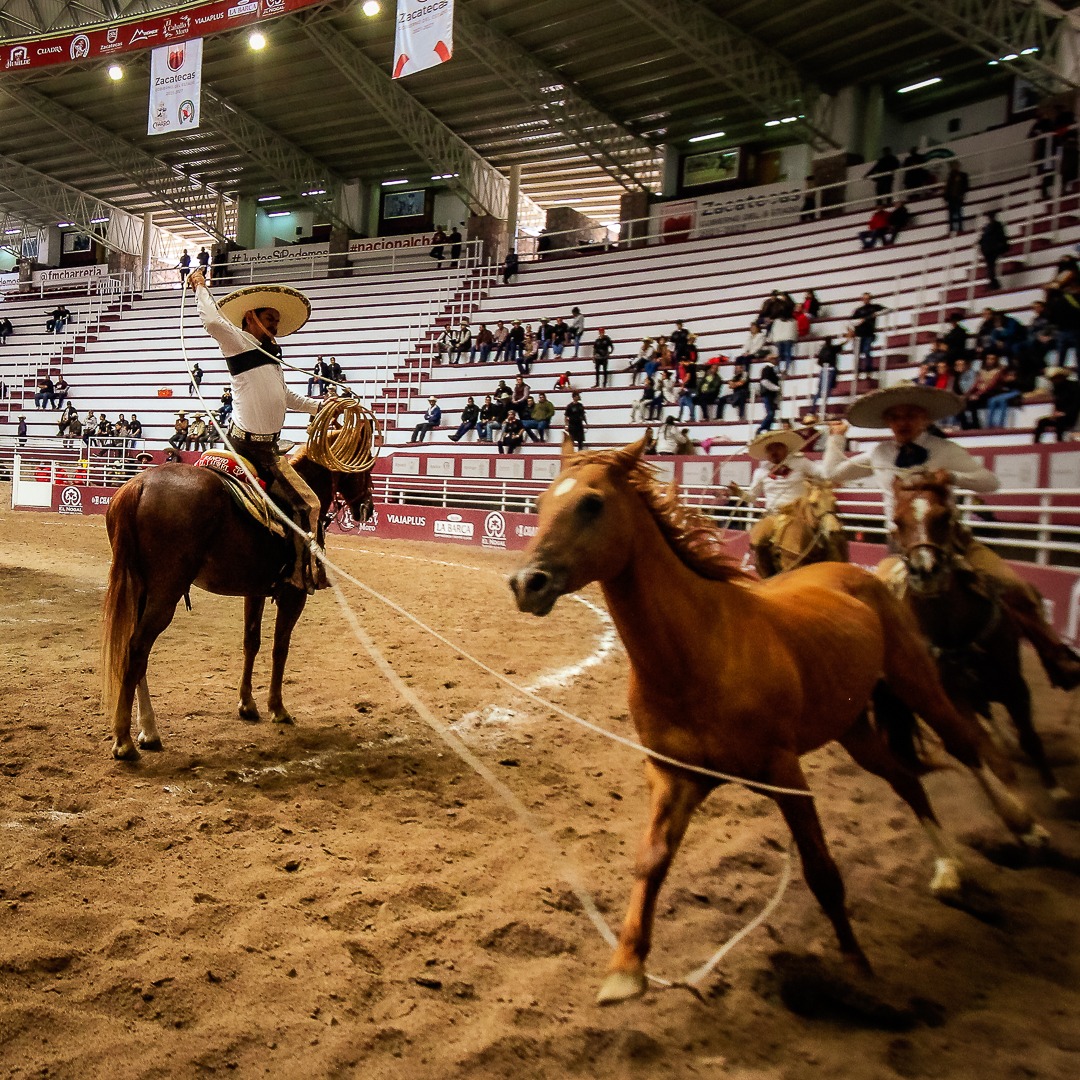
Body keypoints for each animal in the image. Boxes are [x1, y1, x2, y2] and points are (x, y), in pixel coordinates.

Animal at [102, 451, 371, 764]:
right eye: (367, 465)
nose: (367, 508)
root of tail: (140, 485)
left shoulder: (254, 592)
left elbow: (251, 642)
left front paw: (247, 704)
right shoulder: (294, 595)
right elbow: (280, 648)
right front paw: (277, 708)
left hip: (141, 590)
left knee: (137, 654)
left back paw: (148, 731)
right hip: (164, 595)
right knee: (137, 649)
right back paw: (124, 741)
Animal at [509, 434, 1049, 1006]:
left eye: (592, 503)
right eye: (540, 503)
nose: (526, 583)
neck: (697, 652)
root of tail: (859, 576)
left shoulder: (785, 775)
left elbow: (821, 869)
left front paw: (856, 966)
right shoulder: (674, 776)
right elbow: (651, 859)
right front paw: (625, 969)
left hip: (916, 681)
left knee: (964, 744)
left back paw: (1025, 826)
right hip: (853, 727)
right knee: (905, 777)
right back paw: (948, 869)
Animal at [885, 477, 1071, 807]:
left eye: (944, 517)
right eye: (898, 521)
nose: (925, 572)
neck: (953, 629)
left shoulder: (1014, 683)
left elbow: (1030, 738)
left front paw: (1055, 789)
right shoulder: (954, 696)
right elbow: (991, 755)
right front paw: (1017, 805)